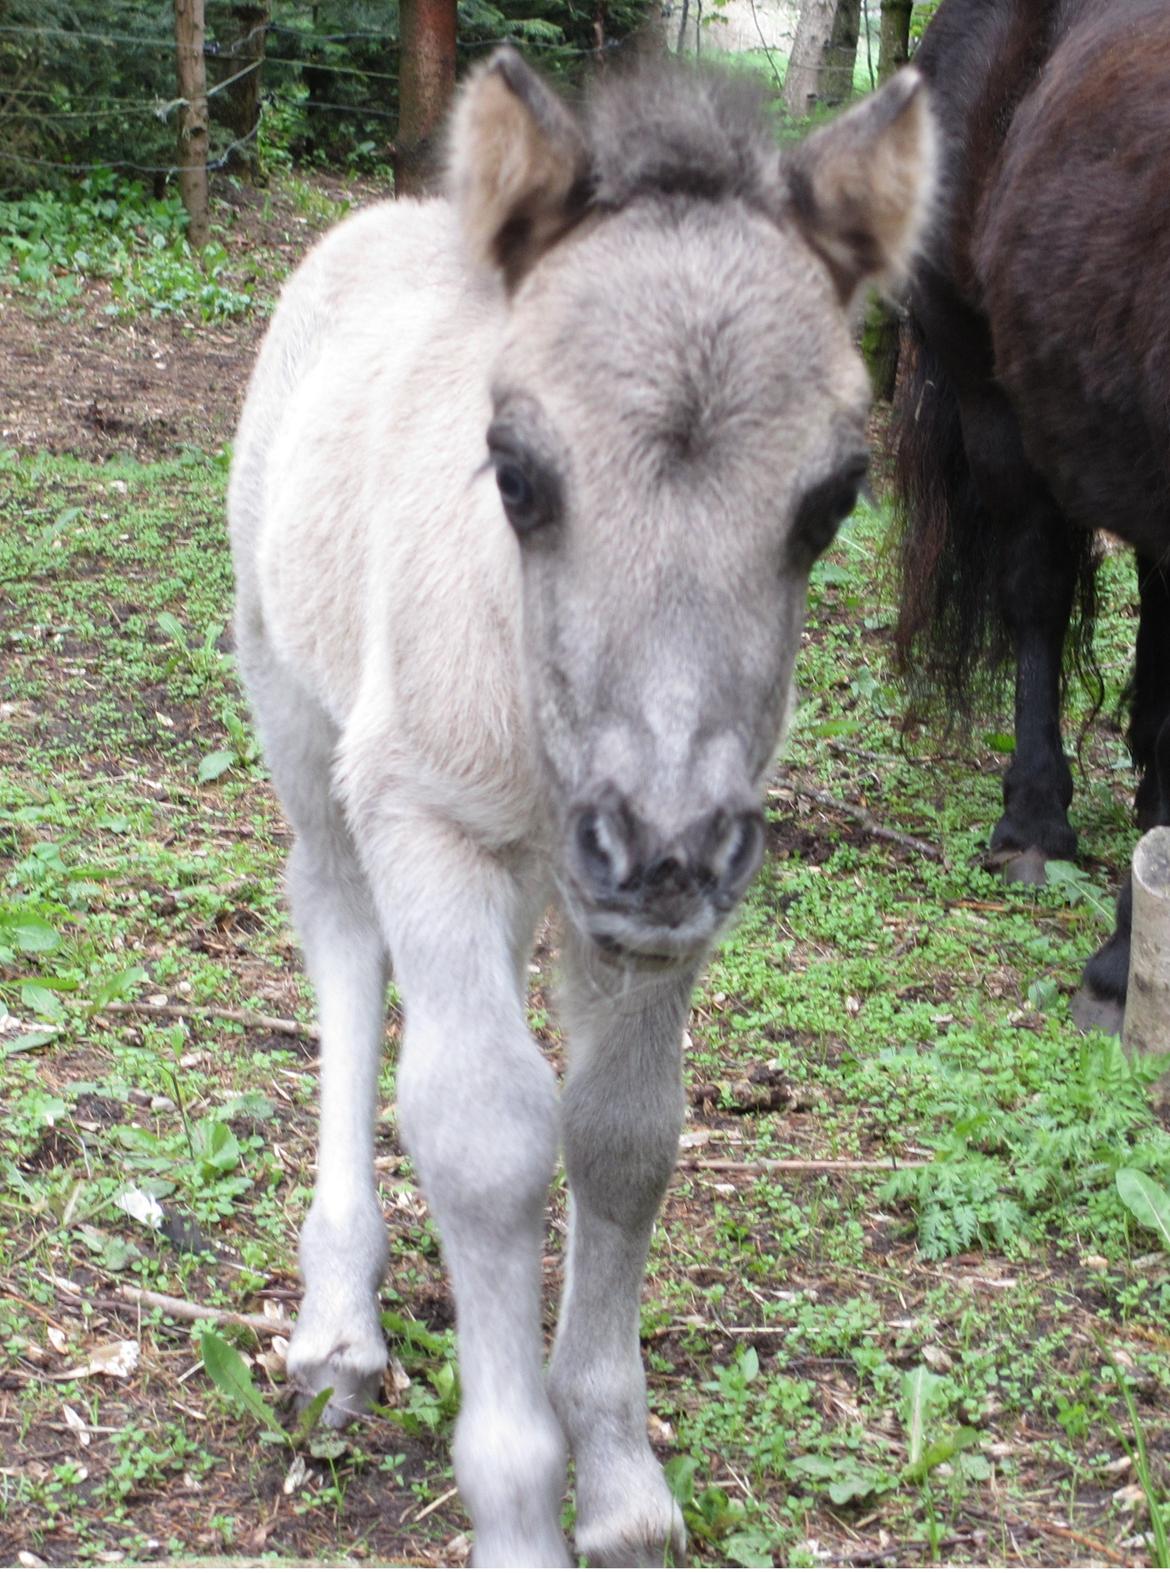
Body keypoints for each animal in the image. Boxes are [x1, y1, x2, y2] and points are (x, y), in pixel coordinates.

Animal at [231, 46, 930, 1560]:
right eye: (515, 471)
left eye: (835, 498)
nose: (655, 850)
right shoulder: (427, 816)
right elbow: (486, 1134)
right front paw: (517, 1501)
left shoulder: (666, 904)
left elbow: (621, 1139)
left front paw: (618, 1486)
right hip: (299, 712)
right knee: (340, 936)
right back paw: (336, 1332)